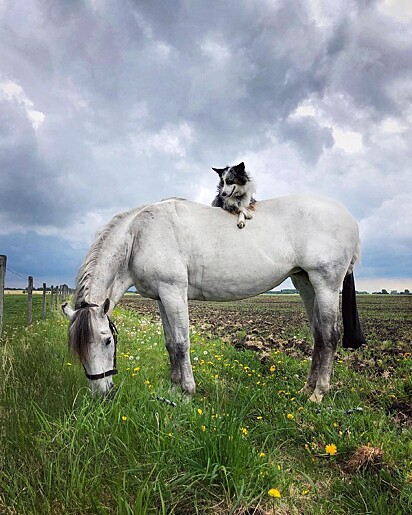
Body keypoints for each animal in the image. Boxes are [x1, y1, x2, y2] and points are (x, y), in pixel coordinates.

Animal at [62, 197, 366, 404]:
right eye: (78, 349)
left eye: (107, 341)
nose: (101, 394)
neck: (138, 235)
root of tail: (349, 219)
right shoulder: (162, 297)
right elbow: (170, 343)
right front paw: (173, 388)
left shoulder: (173, 291)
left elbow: (182, 343)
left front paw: (187, 391)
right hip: (305, 282)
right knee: (318, 335)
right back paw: (306, 389)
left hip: (326, 284)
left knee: (330, 335)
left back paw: (318, 393)